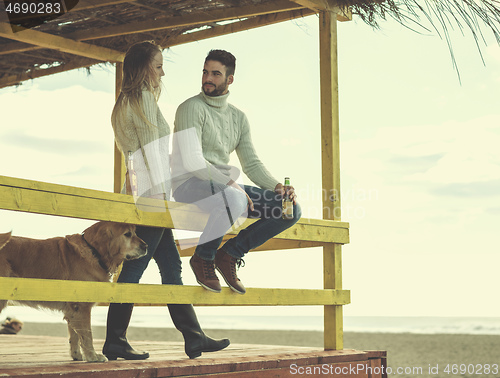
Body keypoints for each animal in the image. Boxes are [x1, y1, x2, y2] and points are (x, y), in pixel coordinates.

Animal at [0, 221, 146, 364]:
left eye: (135, 232)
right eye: (127, 234)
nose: (146, 246)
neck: (93, 251)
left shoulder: (73, 310)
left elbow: (75, 336)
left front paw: (77, 355)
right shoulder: (82, 307)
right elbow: (87, 335)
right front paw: (93, 356)